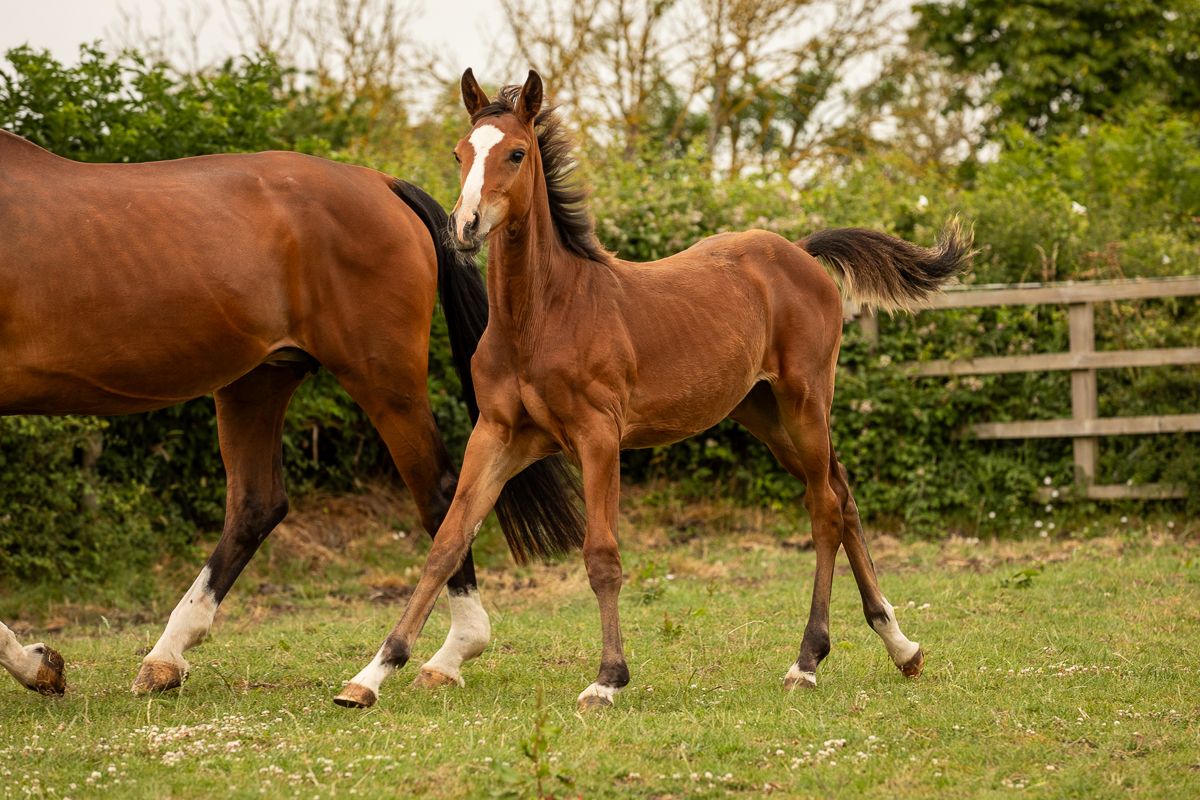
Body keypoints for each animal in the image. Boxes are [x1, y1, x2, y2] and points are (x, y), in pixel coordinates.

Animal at [0, 129, 584, 697]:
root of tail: (381, 184)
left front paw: (35, 665)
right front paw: (38, 664)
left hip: (381, 380)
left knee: (442, 496)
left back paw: (449, 653)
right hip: (257, 381)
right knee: (256, 505)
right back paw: (166, 657)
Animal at [333, 69, 973, 711]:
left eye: (515, 152)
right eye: (459, 153)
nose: (464, 228)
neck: (542, 316)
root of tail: (800, 251)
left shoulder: (598, 436)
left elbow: (602, 556)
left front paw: (607, 679)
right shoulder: (498, 436)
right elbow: (446, 542)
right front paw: (373, 674)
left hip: (805, 402)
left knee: (823, 507)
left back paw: (808, 660)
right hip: (763, 413)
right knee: (842, 493)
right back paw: (902, 646)